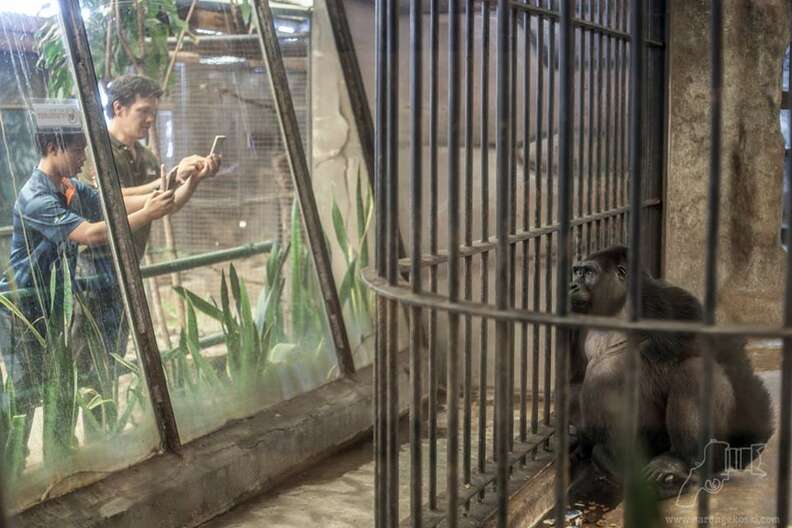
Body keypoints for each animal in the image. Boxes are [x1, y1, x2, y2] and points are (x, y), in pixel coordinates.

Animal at [568, 245, 772, 498]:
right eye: (576, 272)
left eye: (587, 273)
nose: (572, 286)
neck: (619, 310)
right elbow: (575, 382)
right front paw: (582, 441)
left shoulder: (670, 300)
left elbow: (727, 357)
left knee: (695, 370)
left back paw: (680, 462)